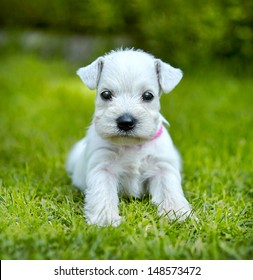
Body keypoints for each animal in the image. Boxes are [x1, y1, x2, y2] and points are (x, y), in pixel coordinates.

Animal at [66, 49, 192, 226]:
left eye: (148, 95)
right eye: (106, 94)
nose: (125, 122)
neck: (131, 145)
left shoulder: (162, 168)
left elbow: (170, 190)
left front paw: (177, 213)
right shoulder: (103, 168)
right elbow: (103, 194)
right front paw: (106, 219)